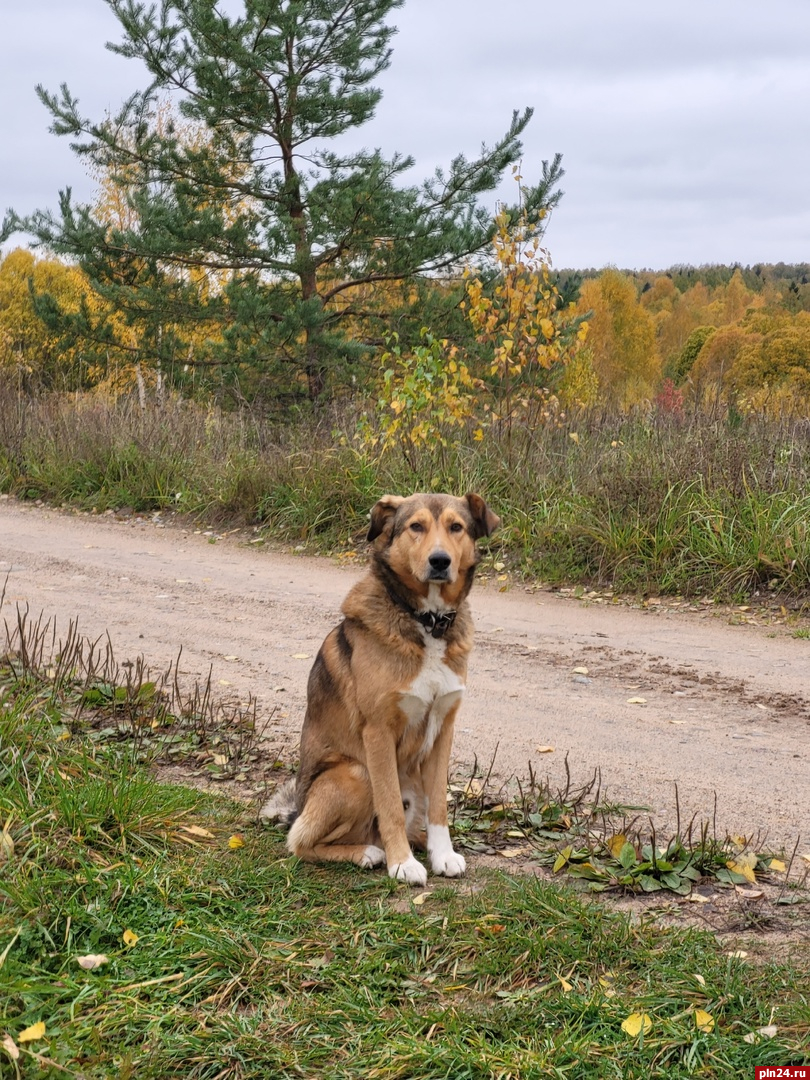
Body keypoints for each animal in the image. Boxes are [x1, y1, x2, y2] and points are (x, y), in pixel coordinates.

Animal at [261, 490, 501, 885]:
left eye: (456, 527)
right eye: (416, 526)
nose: (440, 561)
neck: (427, 622)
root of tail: (298, 807)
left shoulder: (443, 731)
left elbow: (439, 806)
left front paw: (442, 855)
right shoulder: (378, 731)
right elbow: (389, 806)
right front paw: (401, 863)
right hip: (355, 774)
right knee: (300, 842)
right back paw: (369, 853)